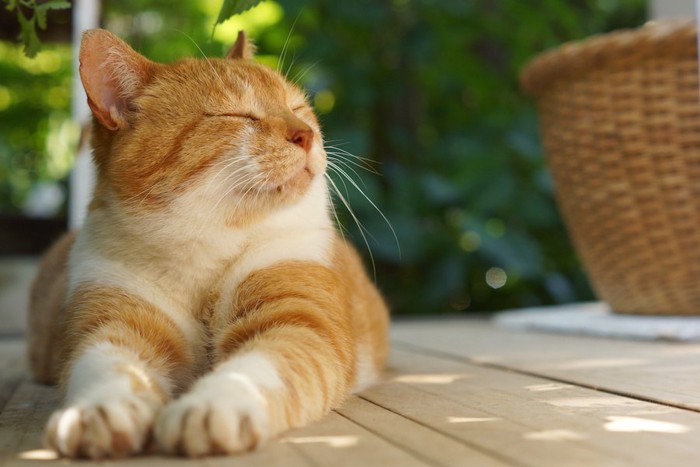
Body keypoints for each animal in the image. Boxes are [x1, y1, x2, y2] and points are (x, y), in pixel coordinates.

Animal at [28, 30, 388, 460]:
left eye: (297, 107)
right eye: (236, 115)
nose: (307, 134)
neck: (207, 254)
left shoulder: (300, 322)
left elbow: (254, 369)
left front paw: (213, 406)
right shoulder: (110, 322)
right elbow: (107, 367)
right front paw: (97, 410)